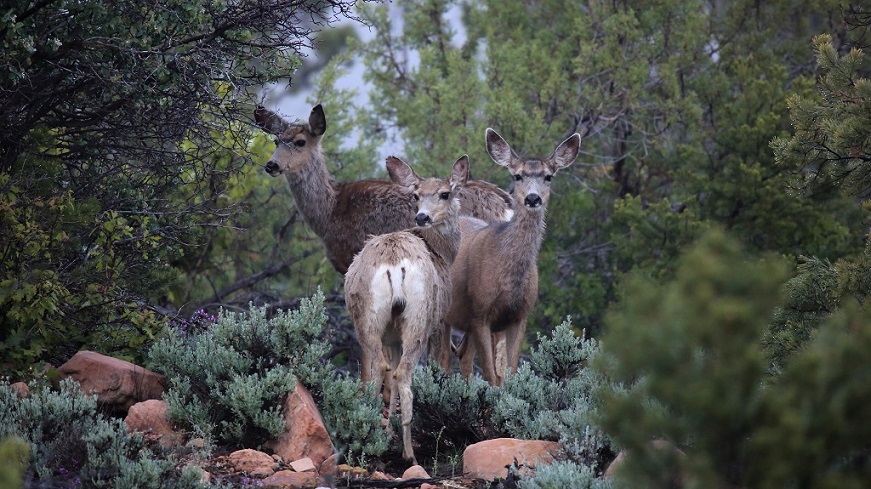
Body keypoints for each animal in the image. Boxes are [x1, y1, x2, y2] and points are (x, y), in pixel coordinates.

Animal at [344, 154, 468, 464]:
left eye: (444, 193)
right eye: (416, 195)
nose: (422, 217)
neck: (442, 253)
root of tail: (393, 263)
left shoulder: (391, 335)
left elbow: (388, 377)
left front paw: (387, 432)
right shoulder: (435, 323)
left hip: (370, 318)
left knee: (381, 369)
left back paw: (374, 435)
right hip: (419, 317)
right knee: (403, 373)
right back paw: (408, 452)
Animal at [444, 128, 581, 386]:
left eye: (549, 176)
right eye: (517, 176)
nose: (533, 198)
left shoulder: (520, 316)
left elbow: (510, 373)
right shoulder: (480, 313)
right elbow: (491, 376)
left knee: (462, 356)